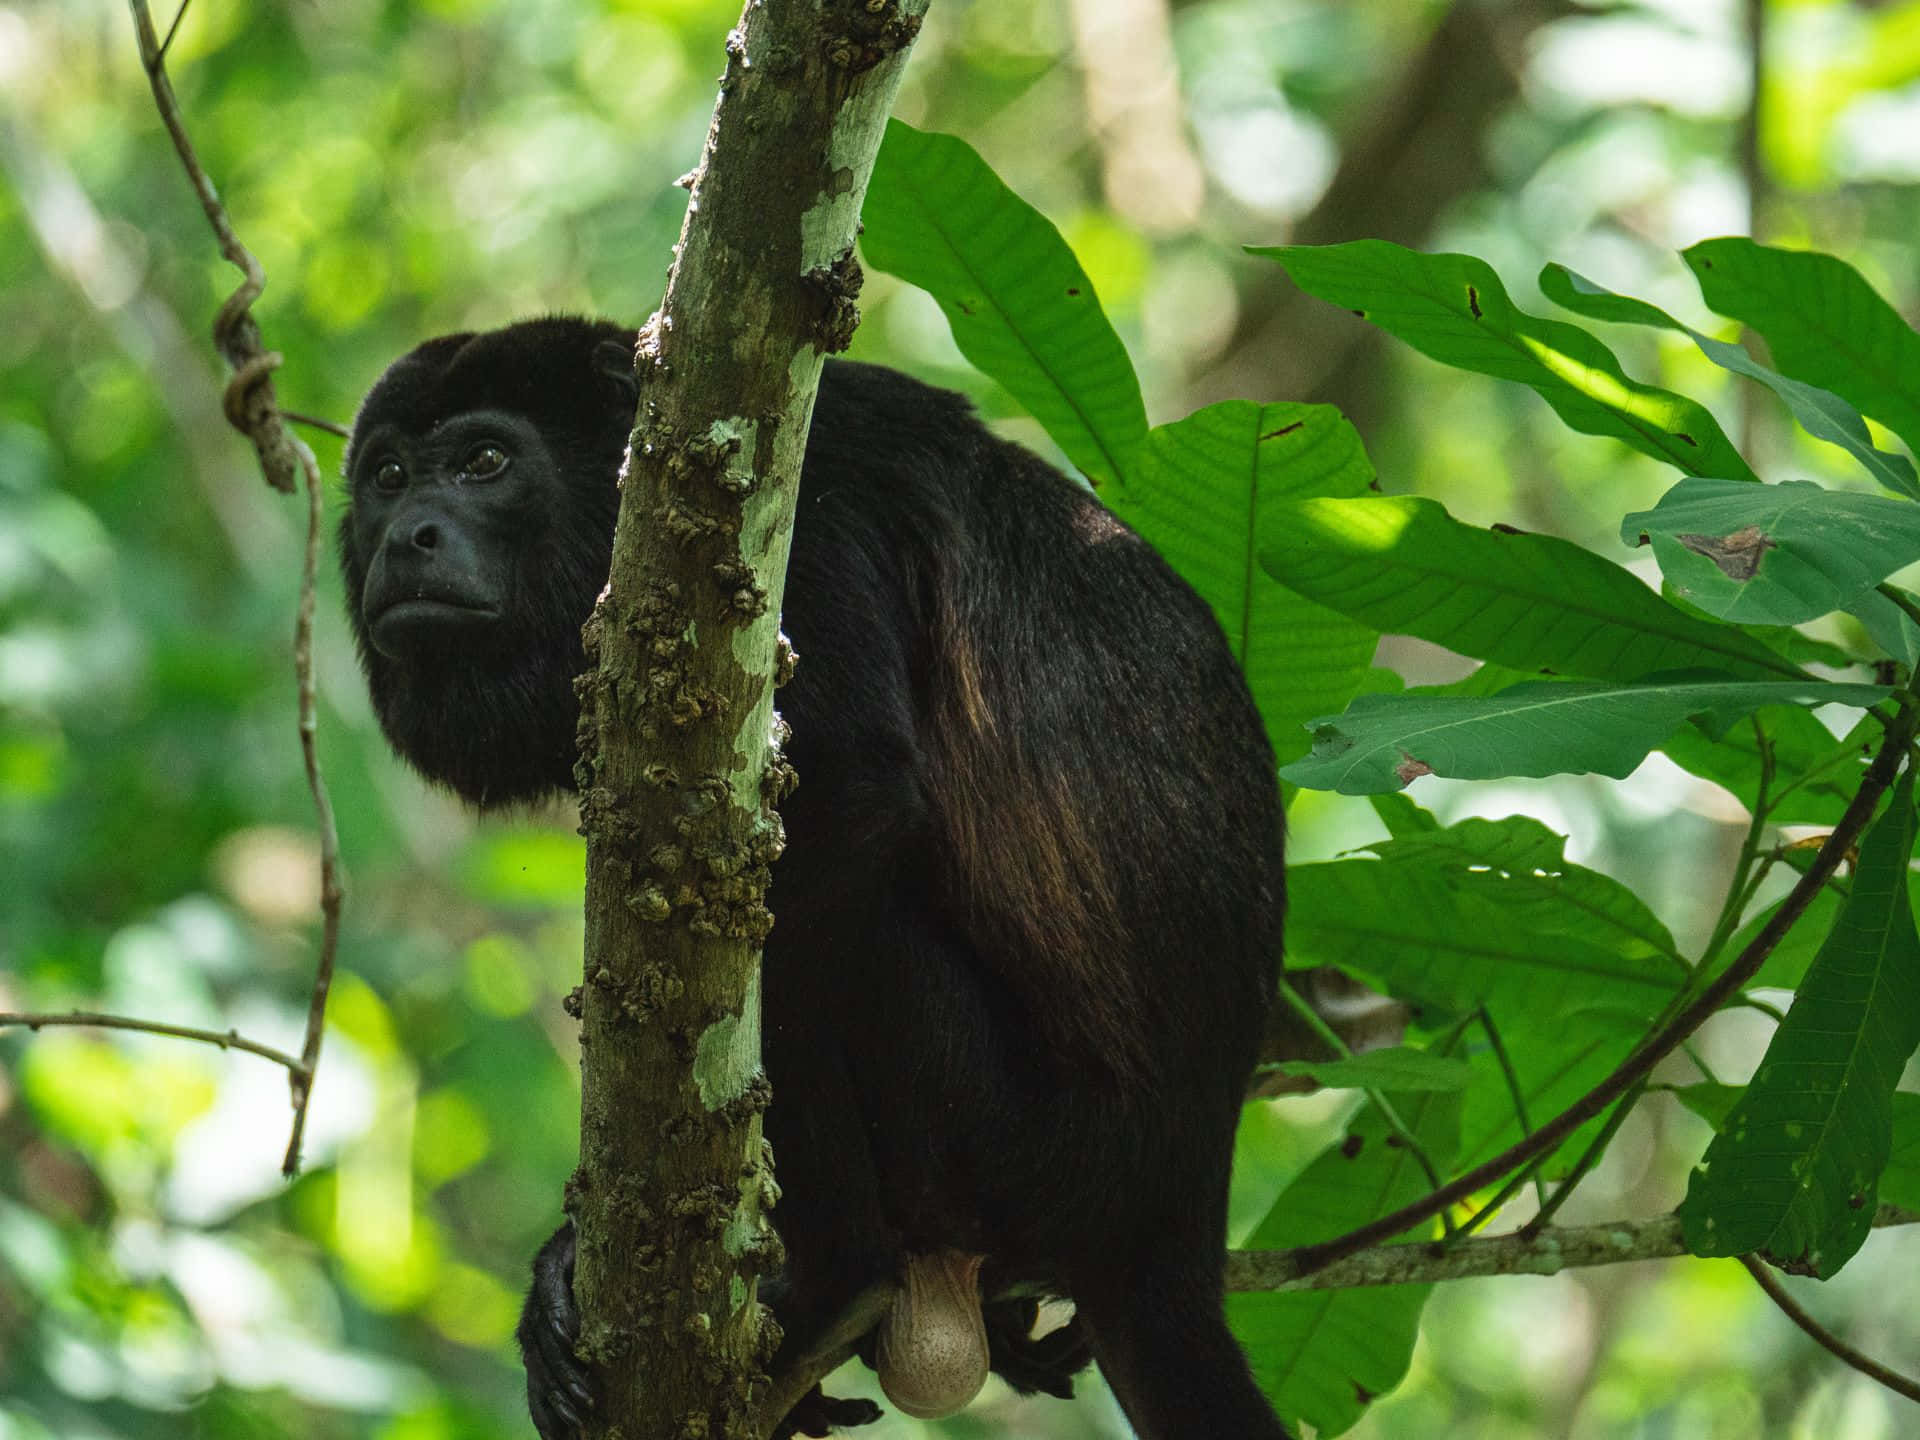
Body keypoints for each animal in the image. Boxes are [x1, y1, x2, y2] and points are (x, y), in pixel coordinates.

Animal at [338, 316, 1291, 1439]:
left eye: (485, 462)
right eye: (388, 477)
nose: (407, 536)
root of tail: (1177, 1215)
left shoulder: (802, 511)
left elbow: (851, 790)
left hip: (1028, 1147)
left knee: (847, 943)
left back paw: (832, 1280)